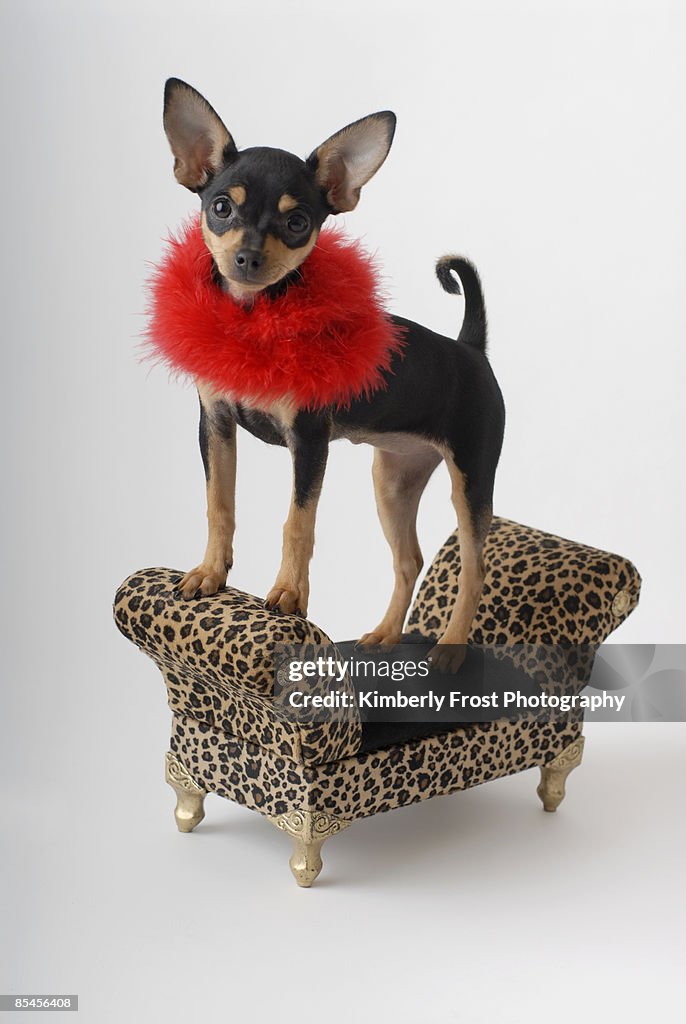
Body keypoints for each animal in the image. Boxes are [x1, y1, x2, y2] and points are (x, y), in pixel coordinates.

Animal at [161, 79, 505, 671]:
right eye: (222, 208)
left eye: (297, 222)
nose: (248, 257)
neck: (258, 324)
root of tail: (469, 348)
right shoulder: (216, 425)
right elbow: (219, 503)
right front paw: (209, 572)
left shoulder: (309, 441)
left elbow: (298, 523)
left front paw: (288, 595)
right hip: (393, 480)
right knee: (409, 560)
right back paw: (385, 635)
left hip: (471, 480)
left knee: (474, 566)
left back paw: (451, 648)